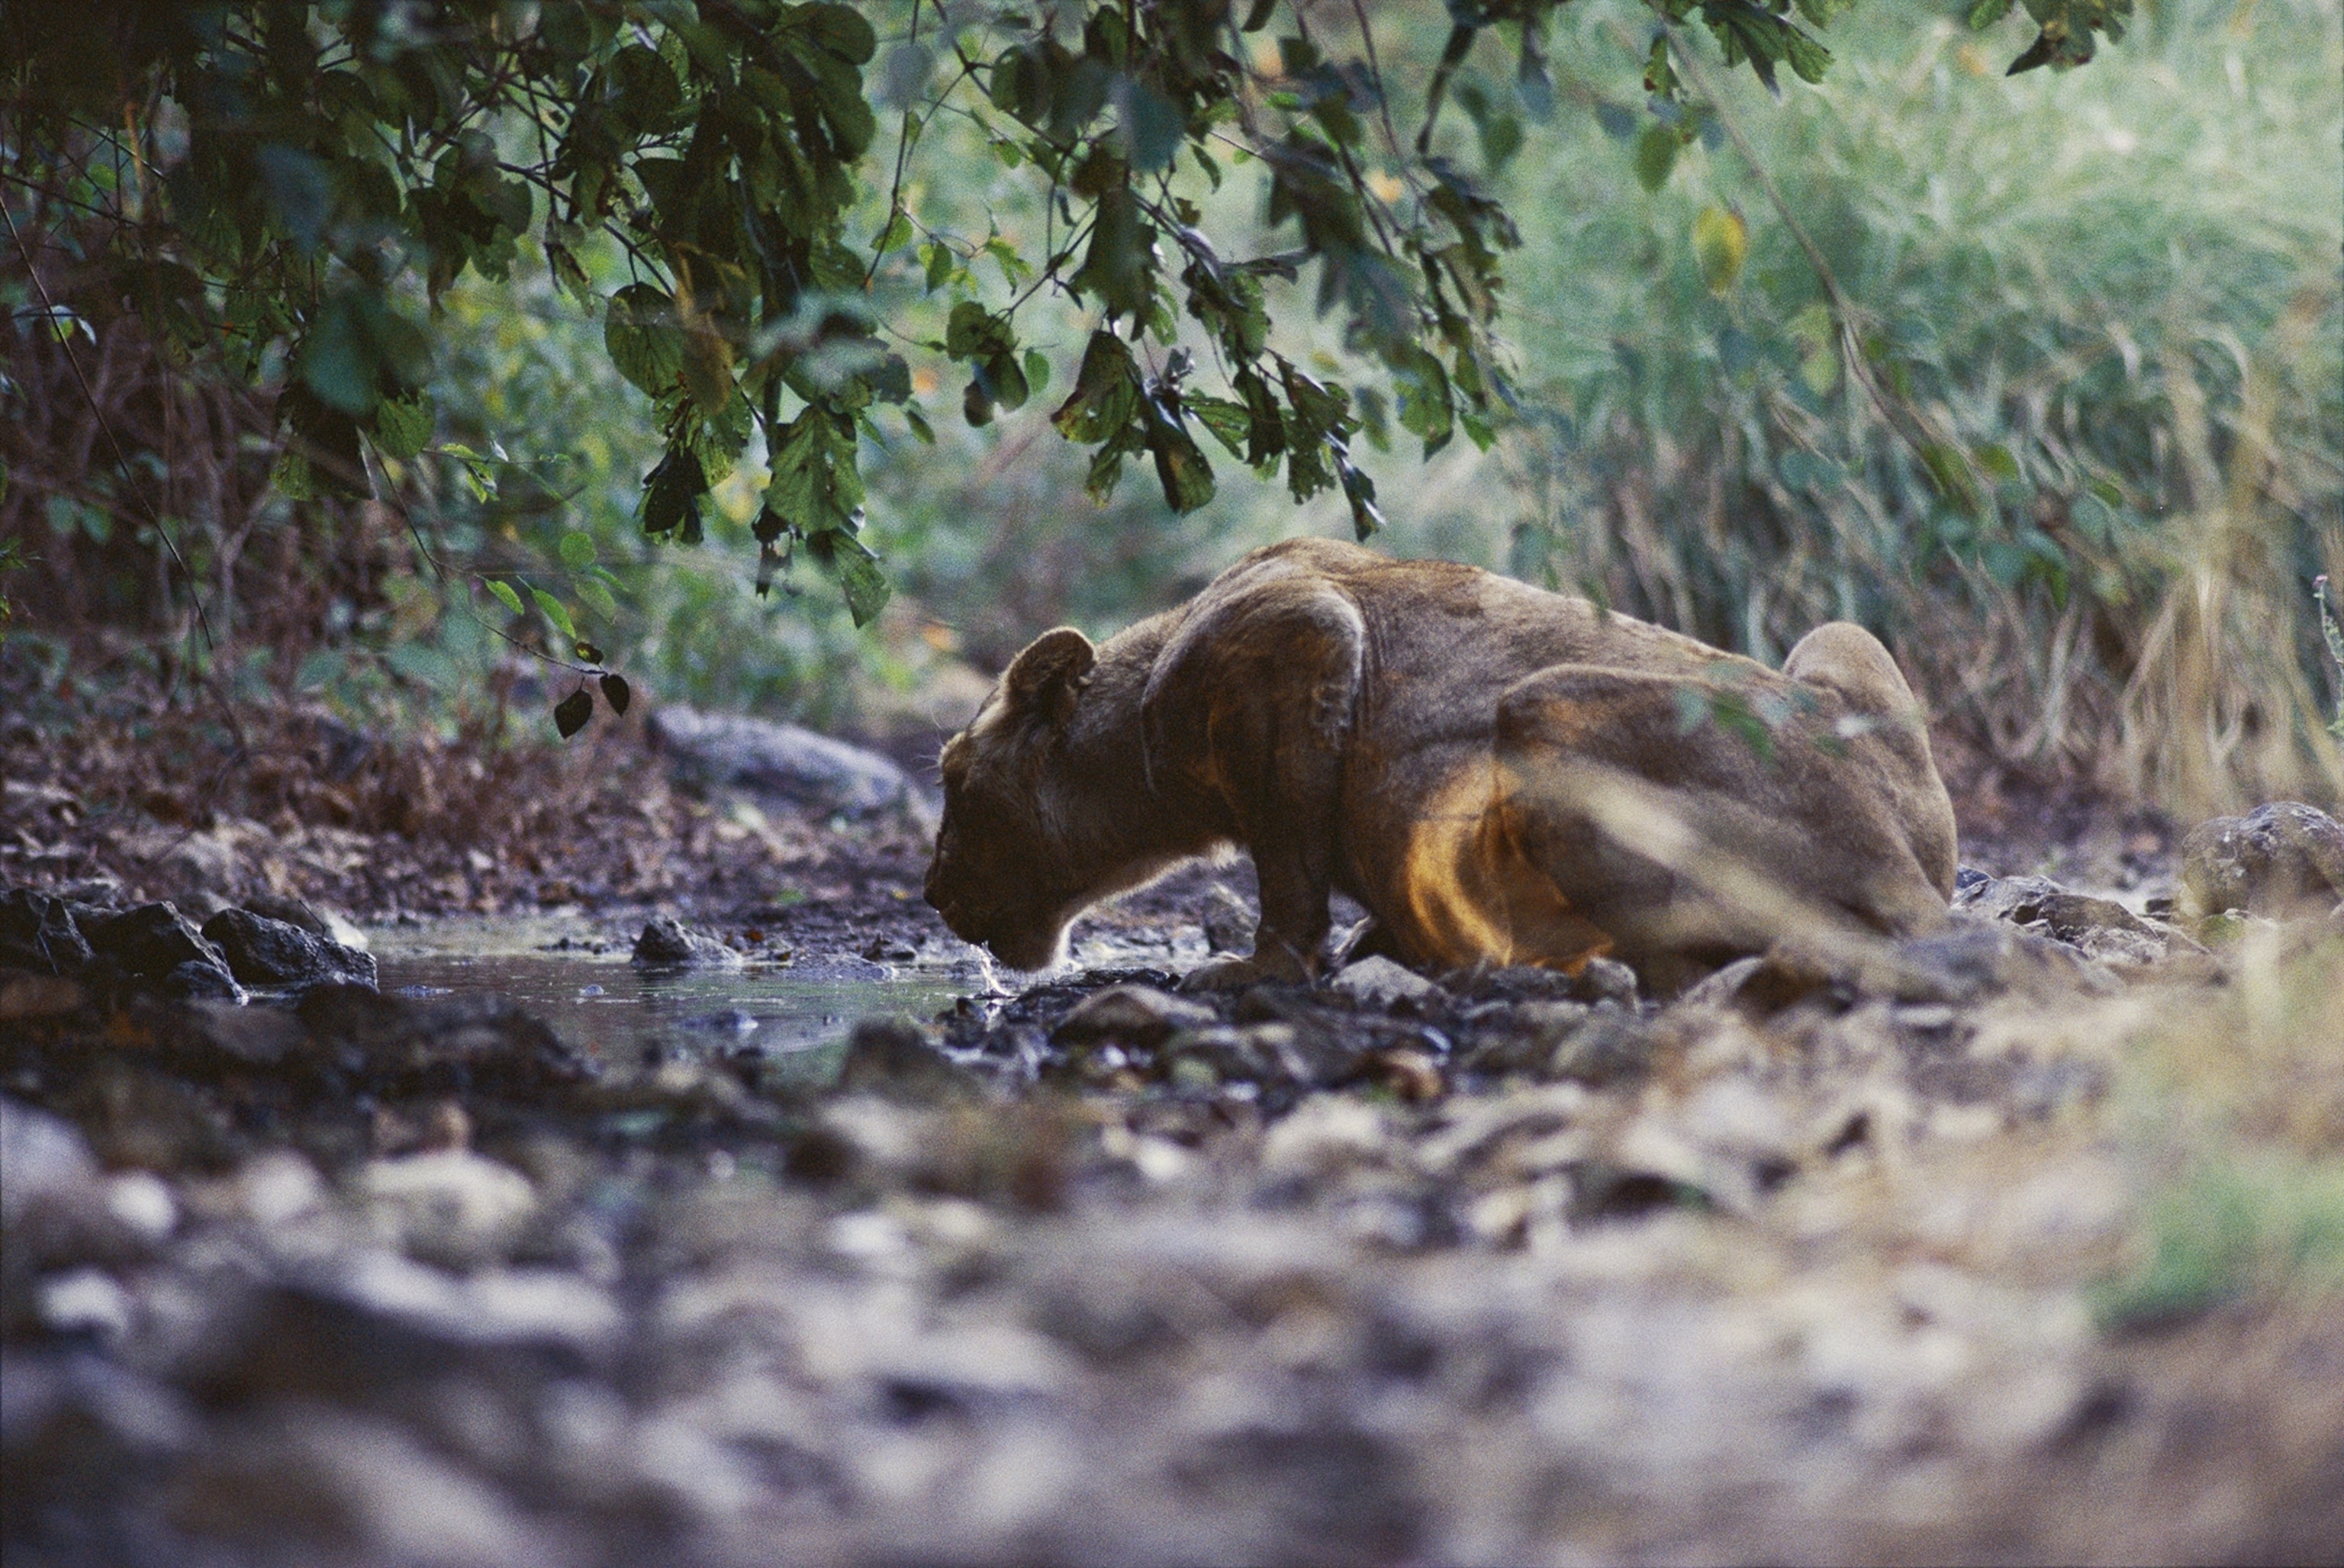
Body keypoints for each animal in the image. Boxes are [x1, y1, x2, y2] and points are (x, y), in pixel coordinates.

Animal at [925, 538, 1957, 993]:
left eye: (953, 782)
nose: (931, 894)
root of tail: (1904, 868)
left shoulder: (1305, 629)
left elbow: (1288, 867)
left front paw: (1261, 968)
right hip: (1843, 644)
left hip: (1539, 705)